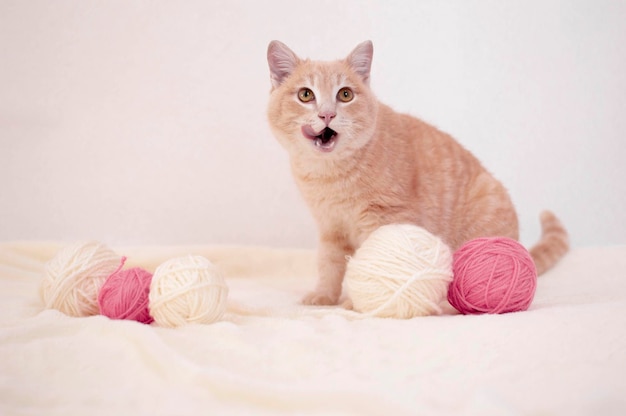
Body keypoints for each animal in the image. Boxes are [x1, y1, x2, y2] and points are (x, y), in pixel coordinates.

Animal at [266, 39, 568, 306]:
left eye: (345, 95)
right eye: (306, 95)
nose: (327, 115)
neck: (330, 176)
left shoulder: (384, 218)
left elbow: (375, 260)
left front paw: (359, 302)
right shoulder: (331, 228)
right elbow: (329, 265)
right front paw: (324, 296)